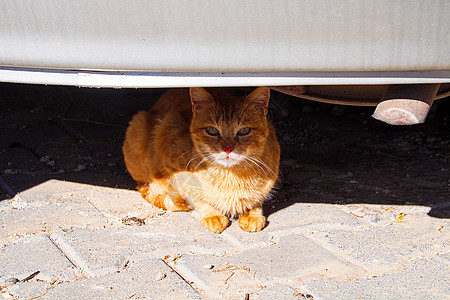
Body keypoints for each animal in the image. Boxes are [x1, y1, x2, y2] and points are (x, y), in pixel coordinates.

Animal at [122, 88, 278, 233]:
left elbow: (256, 200)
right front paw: (212, 215)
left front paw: (253, 214)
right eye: (212, 130)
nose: (227, 148)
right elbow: (198, 197)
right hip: (139, 126)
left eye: (244, 131)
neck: (231, 176)